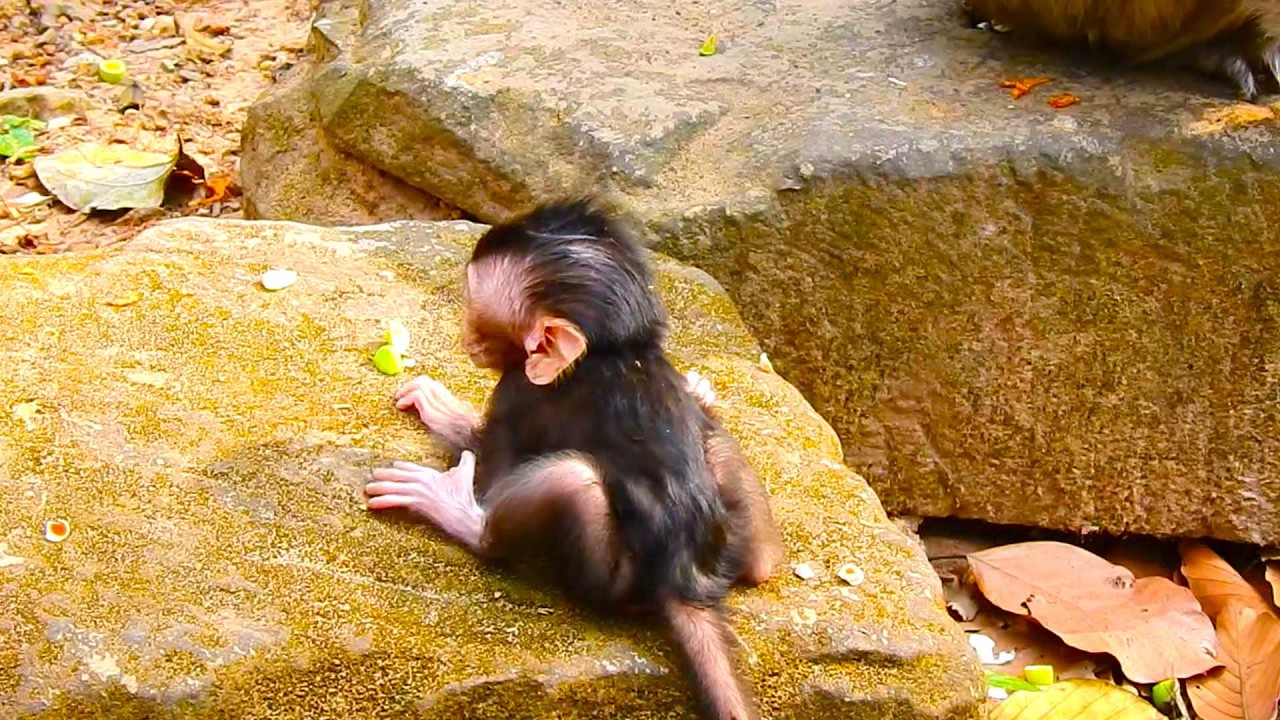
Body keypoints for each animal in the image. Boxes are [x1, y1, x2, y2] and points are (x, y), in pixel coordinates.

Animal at [363, 199, 785, 720]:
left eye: (473, 306)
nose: (462, 334)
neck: (614, 349)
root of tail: (689, 579)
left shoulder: (518, 393)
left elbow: (493, 467)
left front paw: (445, 411)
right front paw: (697, 387)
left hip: (614, 579)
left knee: (569, 478)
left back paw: (458, 512)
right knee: (727, 465)